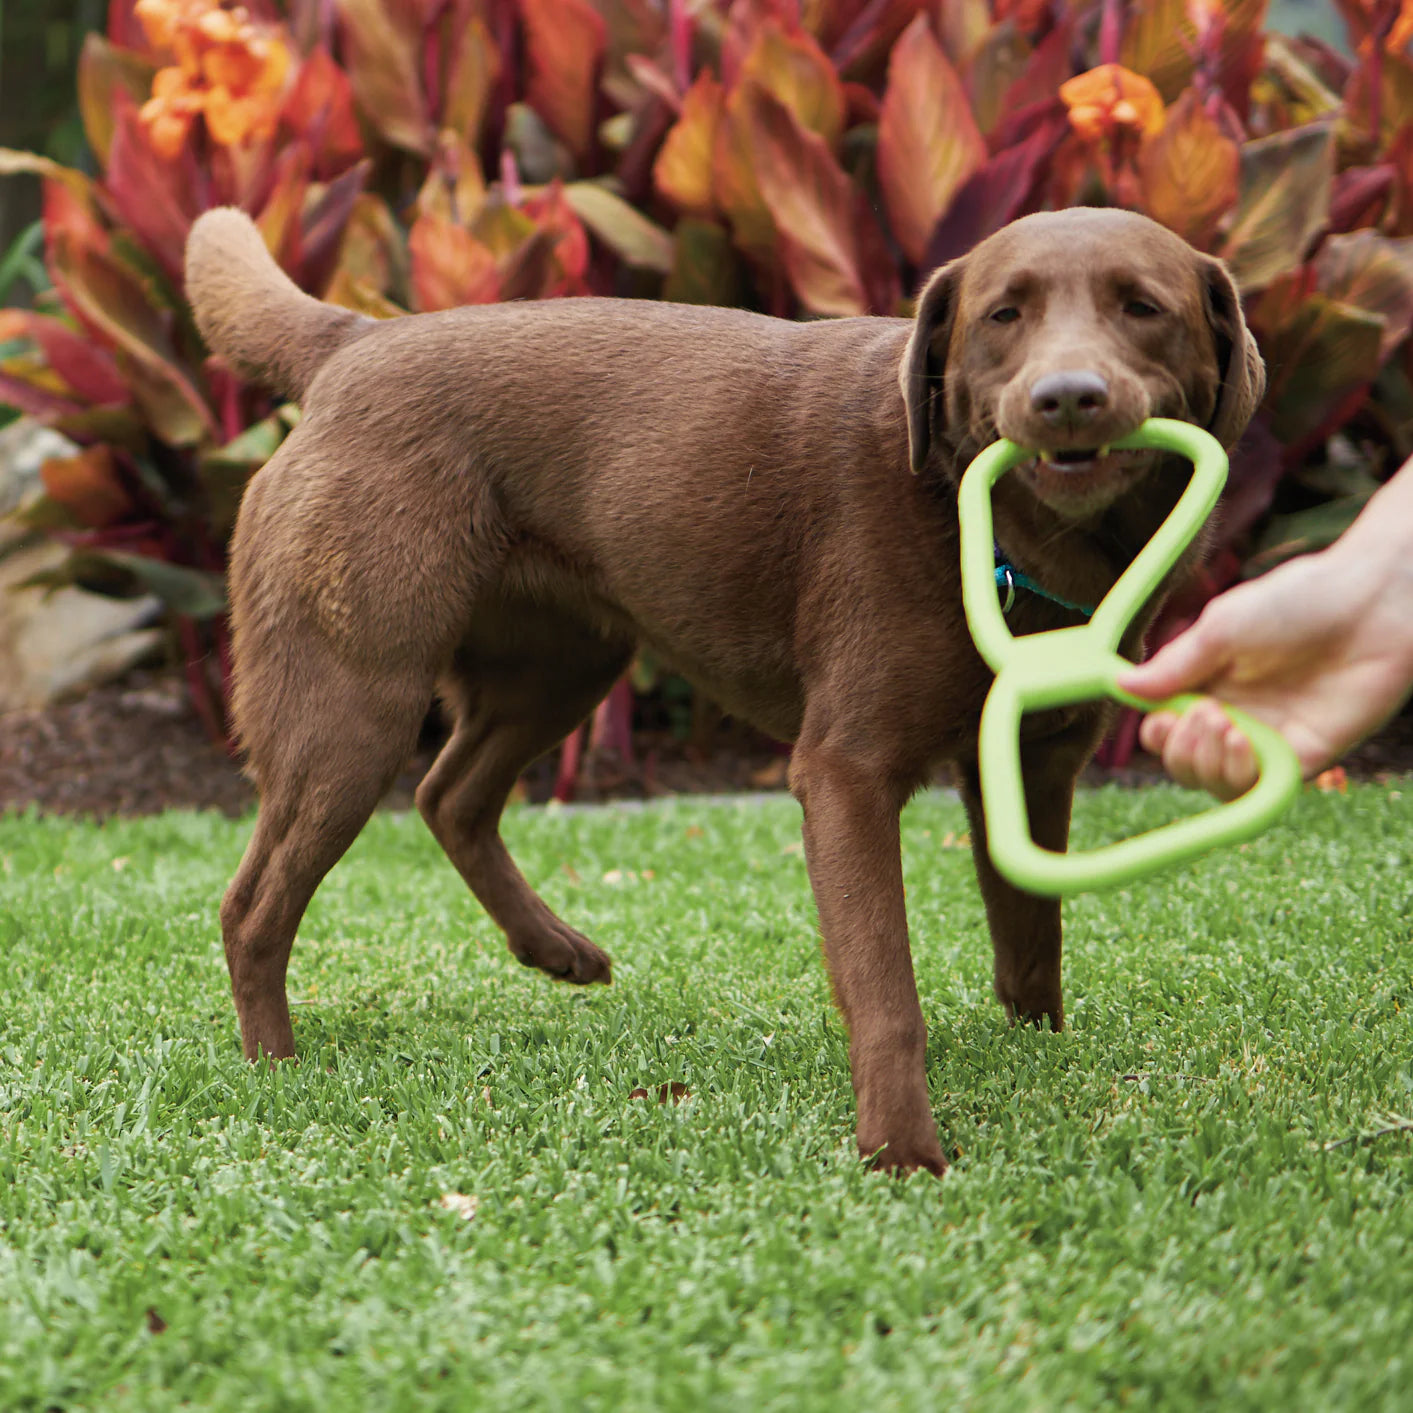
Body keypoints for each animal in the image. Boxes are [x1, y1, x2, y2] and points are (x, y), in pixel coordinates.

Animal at [185, 199, 1260, 1169]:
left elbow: (1031, 937)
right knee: (254, 902)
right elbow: (886, 982)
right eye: (1004, 314)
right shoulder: (844, 770)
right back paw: (276, 1066)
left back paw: (554, 949)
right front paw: (901, 1148)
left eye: (1142, 307)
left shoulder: (1038, 764)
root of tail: (355, 342)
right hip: (353, 703)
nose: (1066, 396)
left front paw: (1039, 1053)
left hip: (562, 666)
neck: (1003, 532)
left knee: (451, 793)